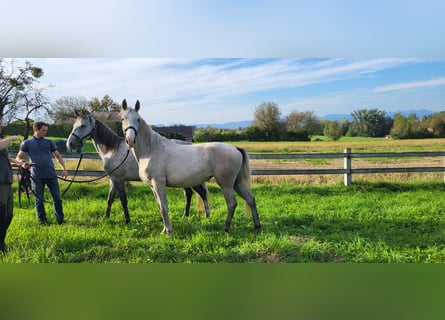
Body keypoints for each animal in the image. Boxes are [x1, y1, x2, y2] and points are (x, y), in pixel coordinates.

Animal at [121, 99, 260, 234]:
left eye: (138, 119)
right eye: (122, 118)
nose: (130, 140)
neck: (152, 150)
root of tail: (235, 148)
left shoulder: (158, 183)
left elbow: (164, 207)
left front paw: (168, 231)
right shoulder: (152, 186)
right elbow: (160, 207)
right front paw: (164, 230)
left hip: (226, 184)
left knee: (232, 204)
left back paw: (225, 228)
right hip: (237, 183)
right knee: (250, 199)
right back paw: (257, 226)